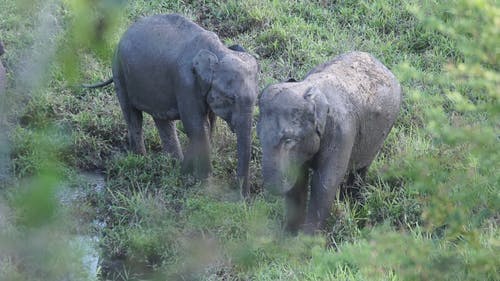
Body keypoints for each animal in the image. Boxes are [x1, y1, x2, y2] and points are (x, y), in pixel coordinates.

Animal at [82, 14, 260, 196]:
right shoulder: (185, 84)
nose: (243, 197)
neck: (218, 50)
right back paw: (140, 159)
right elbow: (197, 126)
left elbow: (207, 125)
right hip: (119, 71)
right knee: (133, 115)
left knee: (161, 120)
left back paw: (172, 162)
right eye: (230, 98)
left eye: (256, 98)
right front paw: (205, 184)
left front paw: (185, 172)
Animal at [258, 50, 402, 232]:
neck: (309, 90)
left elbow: (325, 182)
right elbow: (299, 180)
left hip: (382, 131)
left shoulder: (342, 132)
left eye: (289, 140)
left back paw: (353, 202)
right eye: (259, 136)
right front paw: (288, 235)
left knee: (361, 167)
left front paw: (306, 238)